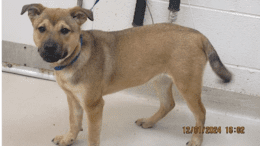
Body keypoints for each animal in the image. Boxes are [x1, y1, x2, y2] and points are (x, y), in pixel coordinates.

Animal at [20, 3, 232, 146]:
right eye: (41, 29)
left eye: (65, 30)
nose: (49, 48)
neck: (75, 58)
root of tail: (198, 35)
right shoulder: (73, 98)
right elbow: (74, 121)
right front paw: (69, 138)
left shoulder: (94, 105)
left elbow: (93, 135)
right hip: (161, 80)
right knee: (168, 104)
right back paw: (149, 122)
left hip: (187, 84)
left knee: (201, 113)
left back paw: (196, 140)